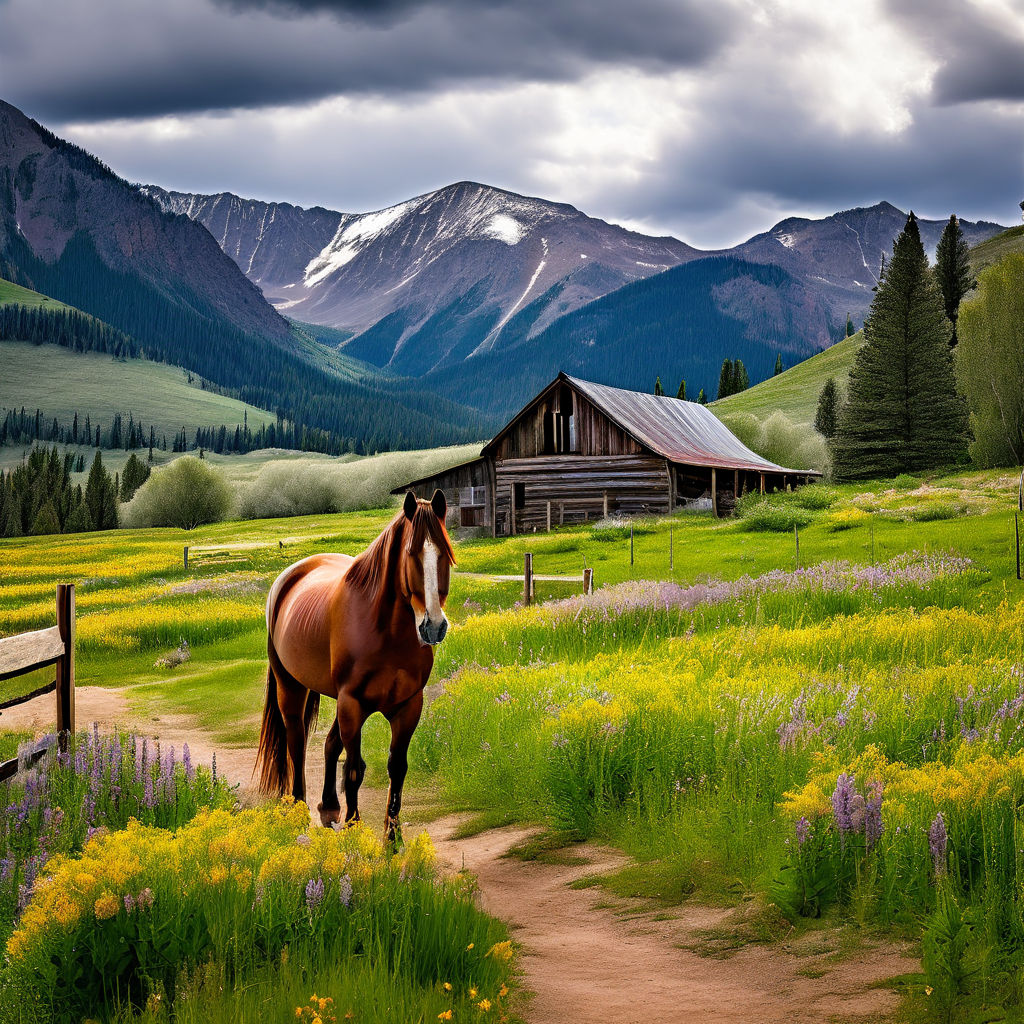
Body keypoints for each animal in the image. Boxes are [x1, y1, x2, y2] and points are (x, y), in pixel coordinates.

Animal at [253, 489, 454, 839]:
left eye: (444, 553)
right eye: (411, 554)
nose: (433, 627)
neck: (386, 632)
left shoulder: (407, 706)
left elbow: (396, 768)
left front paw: (393, 839)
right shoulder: (352, 702)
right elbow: (355, 769)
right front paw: (354, 826)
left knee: (329, 745)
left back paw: (329, 806)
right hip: (292, 687)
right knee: (297, 742)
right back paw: (299, 806)